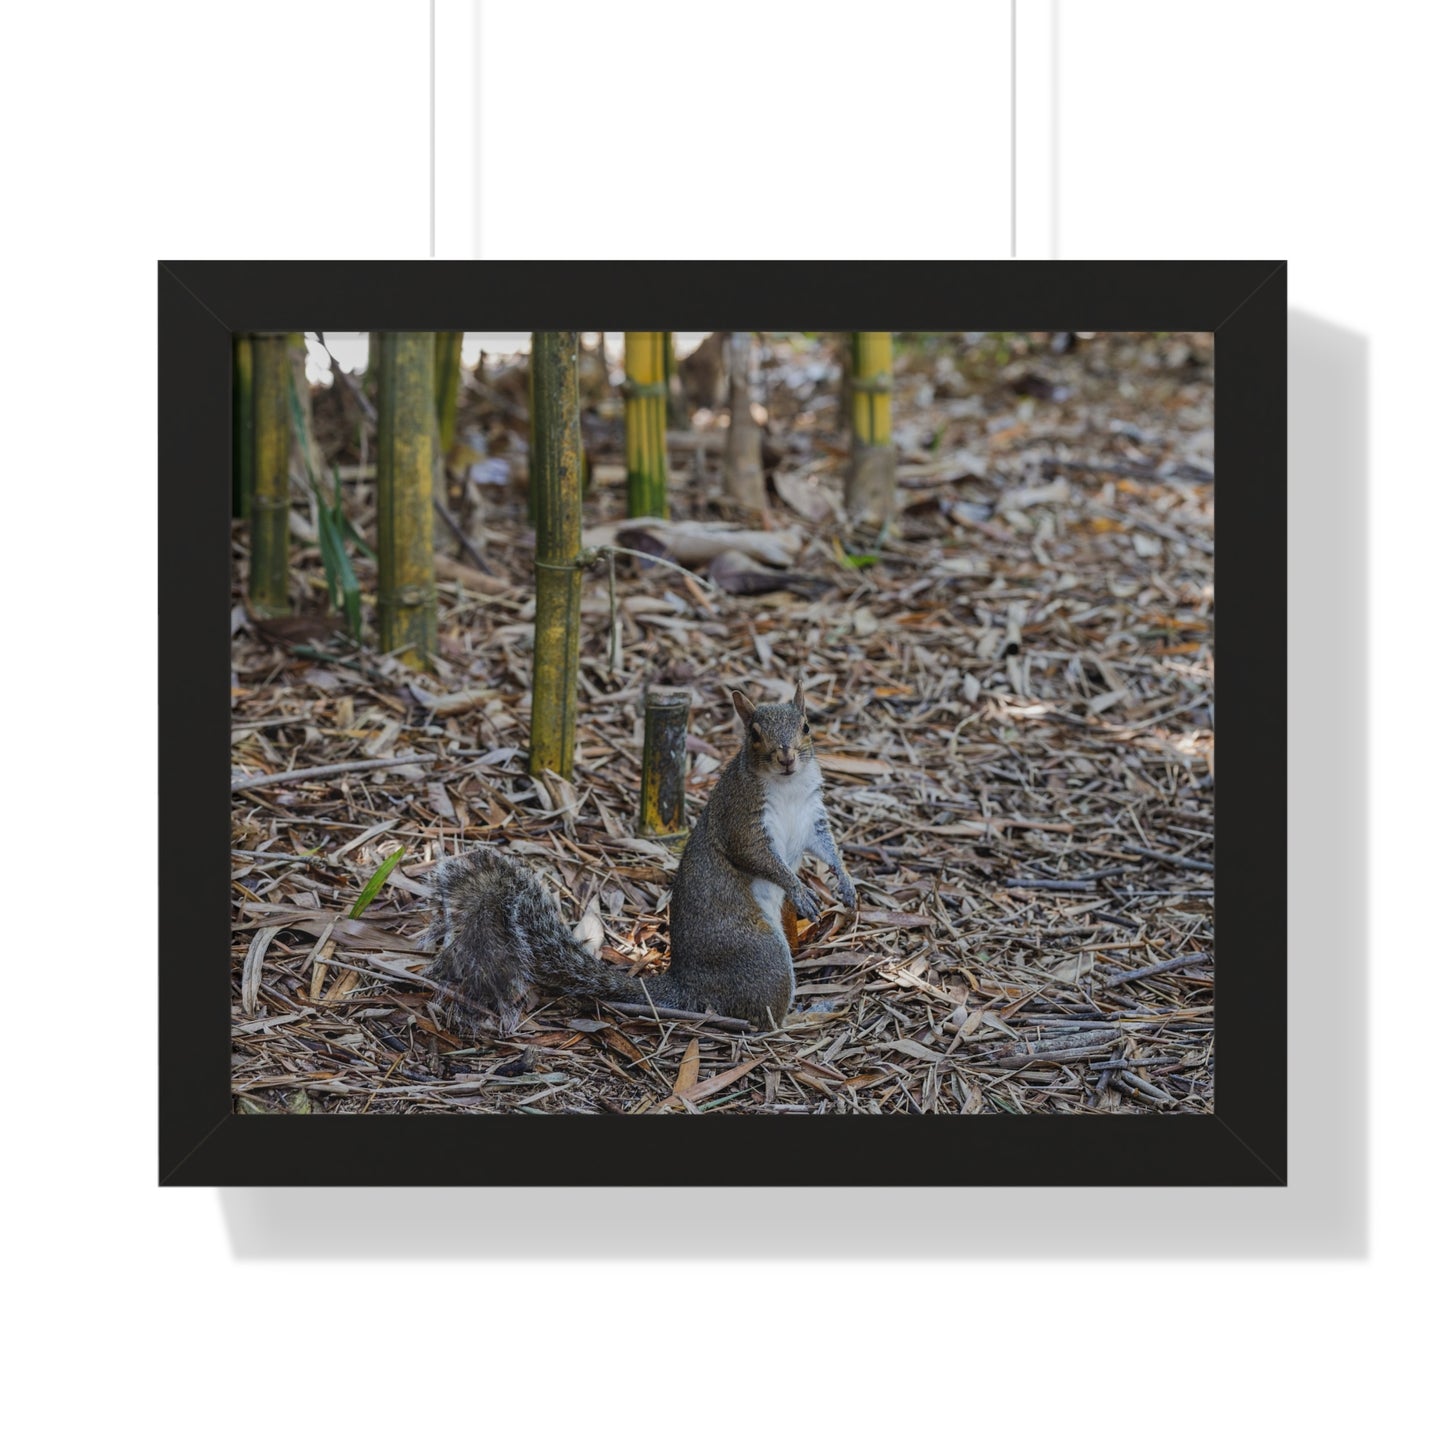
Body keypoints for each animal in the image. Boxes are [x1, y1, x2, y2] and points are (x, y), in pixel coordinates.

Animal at [424, 681, 856, 1032]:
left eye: (806, 726)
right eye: (754, 735)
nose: (786, 757)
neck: (787, 787)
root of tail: (685, 985)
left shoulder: (812, 817)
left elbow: (826, 847)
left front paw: (846, 884)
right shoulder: (741, 819)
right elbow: (759, 858)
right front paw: (799, 890)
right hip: (761, 955)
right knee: (761, 1019)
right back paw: (806, 1017)